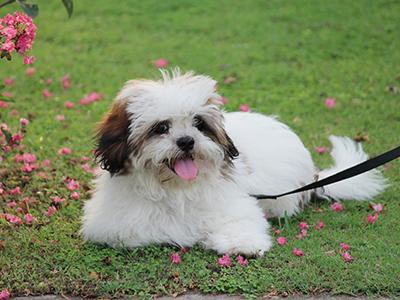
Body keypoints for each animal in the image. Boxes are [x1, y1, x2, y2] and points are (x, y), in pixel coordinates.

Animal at [80, 68, 384, 255]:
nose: (186, 141)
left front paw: (243, 244)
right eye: (161, 128)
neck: (176, 188)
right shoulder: (116, 225)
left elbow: (240, 221)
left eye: (198, 124)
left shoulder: (236, 203)